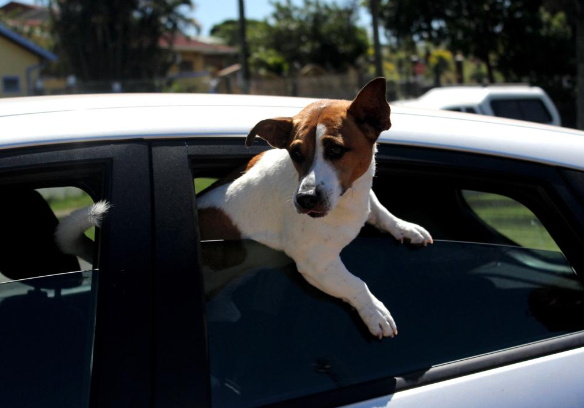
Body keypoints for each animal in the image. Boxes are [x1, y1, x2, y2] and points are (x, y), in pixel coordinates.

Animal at [57, 78, 432, 340]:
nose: (305, 200)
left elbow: (380, 210)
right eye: (296, 153)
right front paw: (374, 311)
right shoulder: (317, 264)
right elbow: (356, 283)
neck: (346, 200)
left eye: (336, 150)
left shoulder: (361, 194)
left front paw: (405, 227)